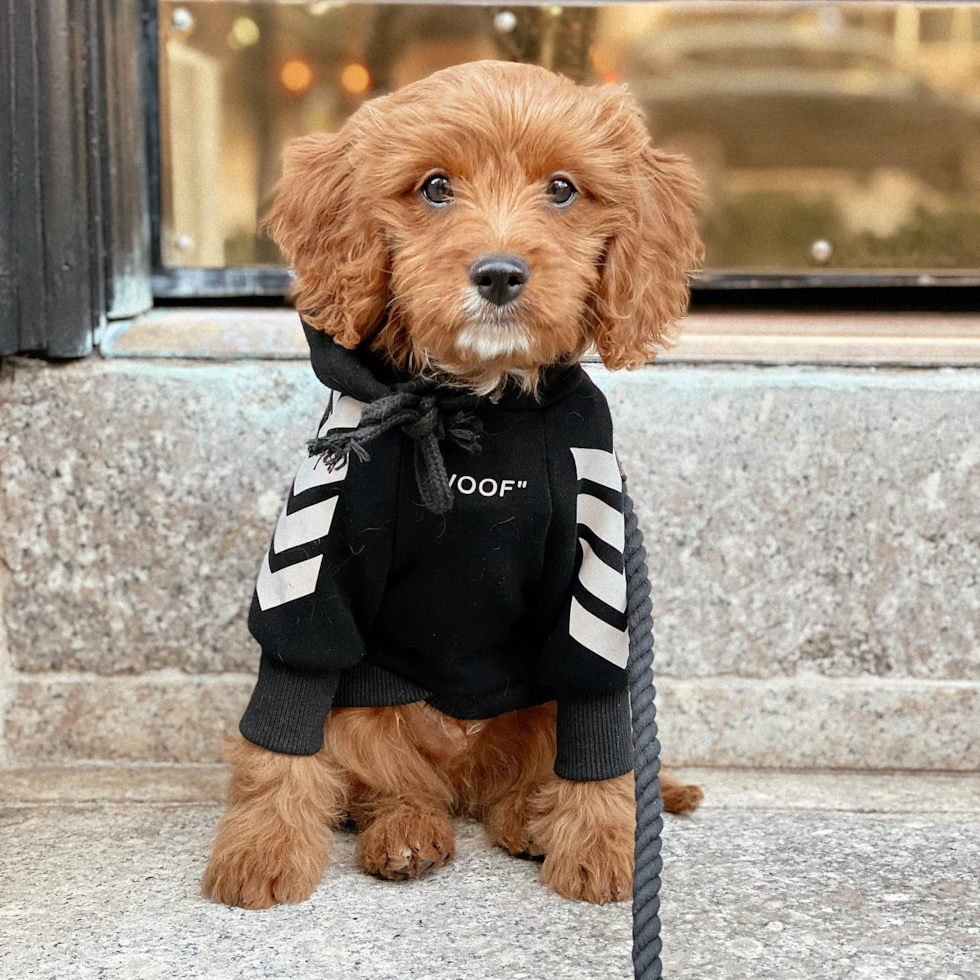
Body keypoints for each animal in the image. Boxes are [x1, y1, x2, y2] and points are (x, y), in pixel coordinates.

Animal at [201, 57, 704, 908]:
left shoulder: (595, 570)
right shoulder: (320, 560)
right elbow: (286, 717)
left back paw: (531, 822)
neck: (476, 401)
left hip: (532, 711)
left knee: (525, 776)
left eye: (563, 190)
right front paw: (262, 848)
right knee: (394, 784)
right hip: (369, 710)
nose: (499, 274)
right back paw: (407, 833)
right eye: (435, 188)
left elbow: (600, 721)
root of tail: (466, 767)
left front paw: (606, 847)